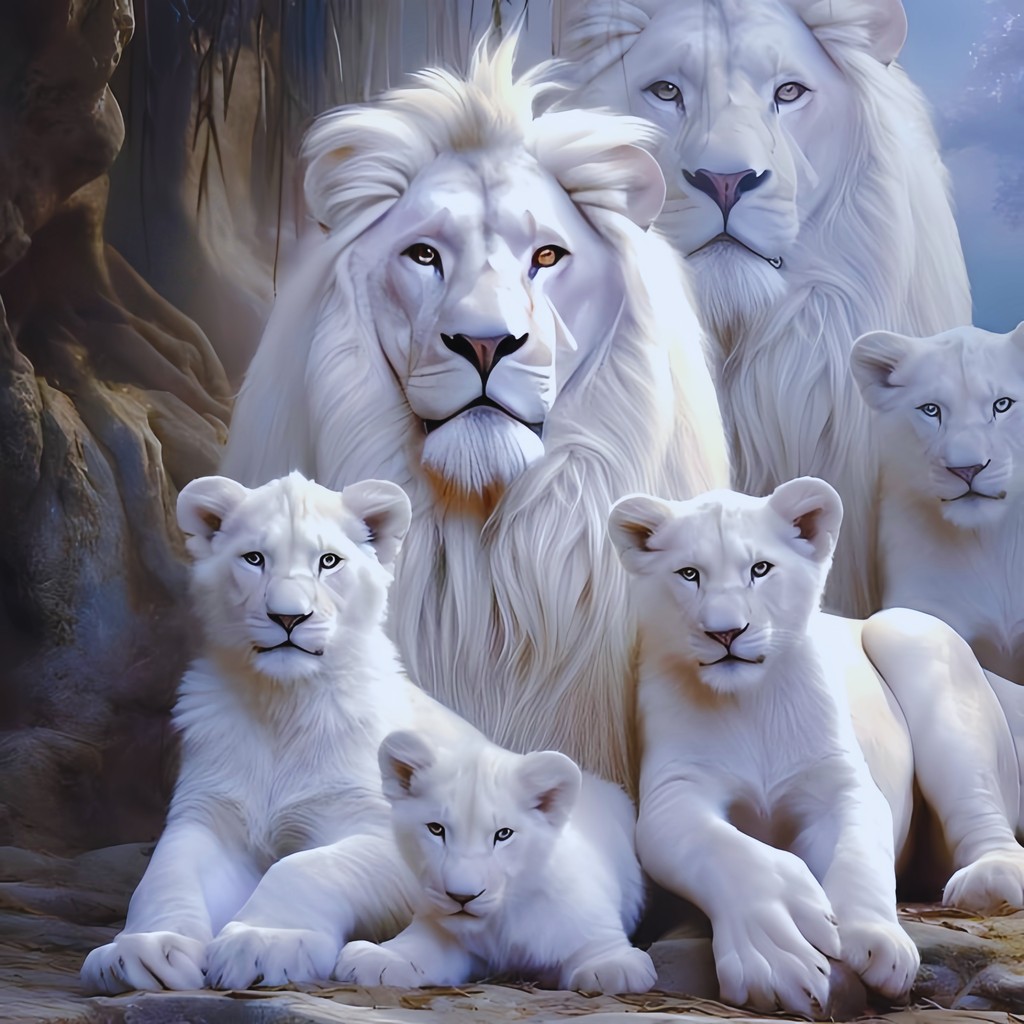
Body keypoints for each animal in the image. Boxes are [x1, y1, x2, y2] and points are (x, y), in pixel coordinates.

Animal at [81, 472, 467, 993]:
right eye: (254, 558)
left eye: (329, 561)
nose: (288, 617)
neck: (282, 704)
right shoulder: (209, 815)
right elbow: (165, 875)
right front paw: (144, 951)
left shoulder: (391, 832)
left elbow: (305, 867)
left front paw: (262, 942)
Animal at [336, 728, 656, 993]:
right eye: (436, 829)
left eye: (503, 834)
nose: (461, 897)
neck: (500, 924)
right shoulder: (438, 927)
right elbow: (417, 945)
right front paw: (381, 957)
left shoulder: (590, 925)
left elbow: (599, 949)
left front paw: (611, 965)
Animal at [610, 478, 1024, 1016]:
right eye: (689, 574)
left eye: (760, 569)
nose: (725, 631)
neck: (750, 703)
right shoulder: (673, 792)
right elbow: (726, 850)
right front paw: (779, 958)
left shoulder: (840, 782)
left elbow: (858, 850)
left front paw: (876, 941)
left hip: (911, 635)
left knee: (981, 814)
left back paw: (990, 881)